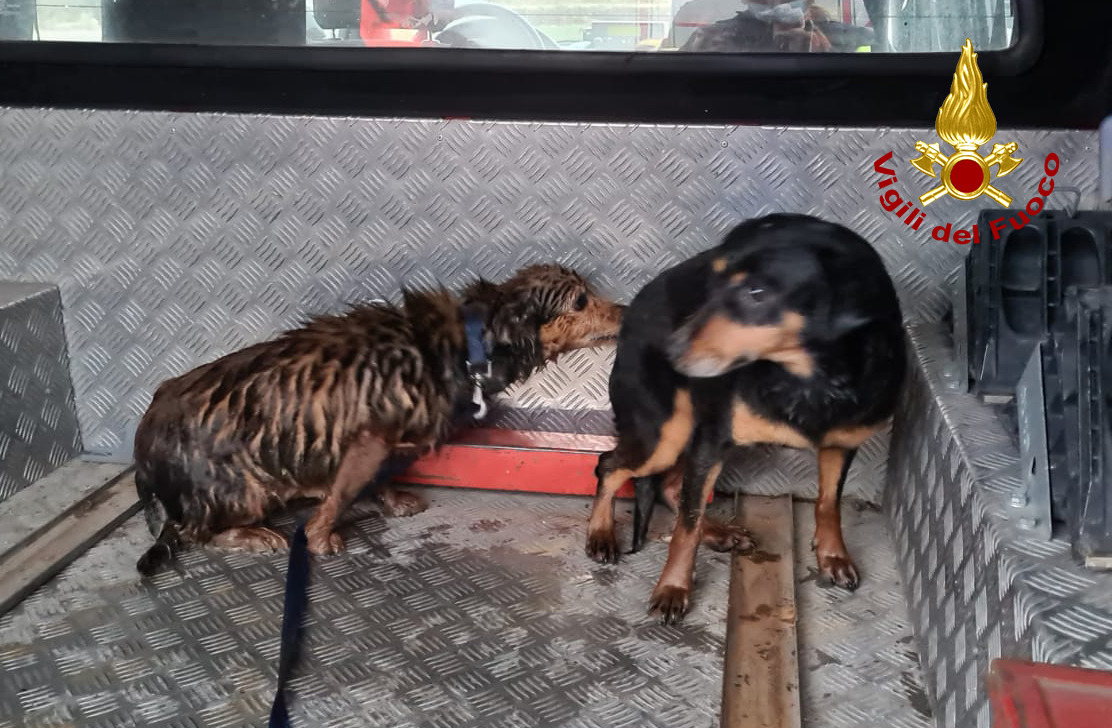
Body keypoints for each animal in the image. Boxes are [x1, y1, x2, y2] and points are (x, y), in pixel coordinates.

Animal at [133, 264, 622, 577]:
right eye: (581, 300)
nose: (627, 310)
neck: (467, 344)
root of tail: (144, 441)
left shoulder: (381, 443)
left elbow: (375, 480)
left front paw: (390, 501)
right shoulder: (369, 440)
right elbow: (340, 498)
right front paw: (320, 537)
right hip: (241, 490)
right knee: (194, 532)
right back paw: (252, 535)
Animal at [587, 213, 907, 622]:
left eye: (756, 293)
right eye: (711, 281)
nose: (668, 349)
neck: (810, 379)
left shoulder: (841, 443)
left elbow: (828, 503)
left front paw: (833, 555)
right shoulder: (713, 439)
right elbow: (685, 528)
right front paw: (673, 588)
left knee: (669, 487)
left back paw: (719, 533)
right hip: (665, 435)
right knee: (610, 466)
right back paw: (600, 533)